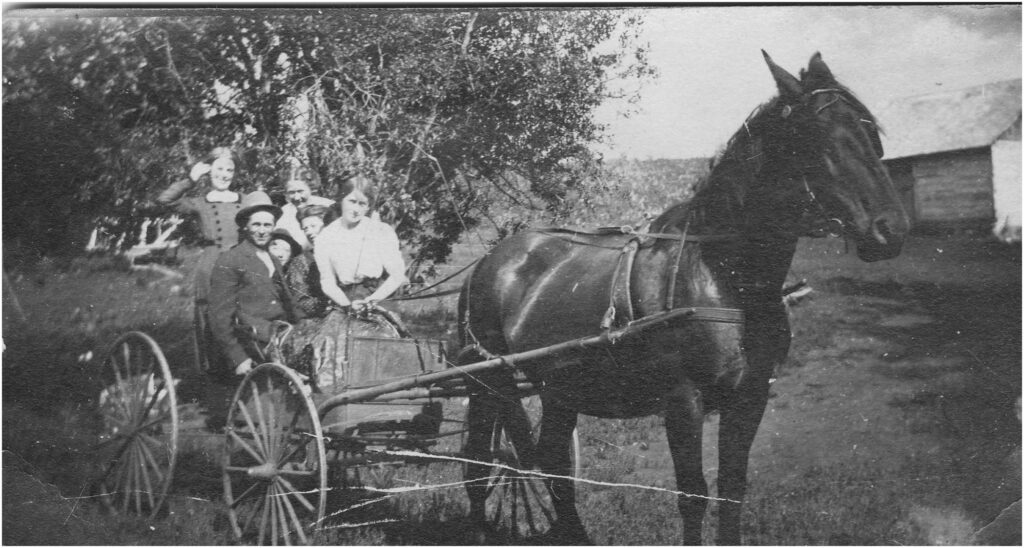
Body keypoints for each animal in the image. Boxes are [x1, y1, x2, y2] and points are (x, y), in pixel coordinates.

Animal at [460, 52, 909, 544]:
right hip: (488, 385)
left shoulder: (750, 396)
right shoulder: (683, 402)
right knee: (477, 466)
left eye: (871, 135)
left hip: (559, 389)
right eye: (815, 137)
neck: (723, 277)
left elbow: (732, 488)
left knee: (555, 465)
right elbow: (693, 495)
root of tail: (489, 262)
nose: (890, 231)